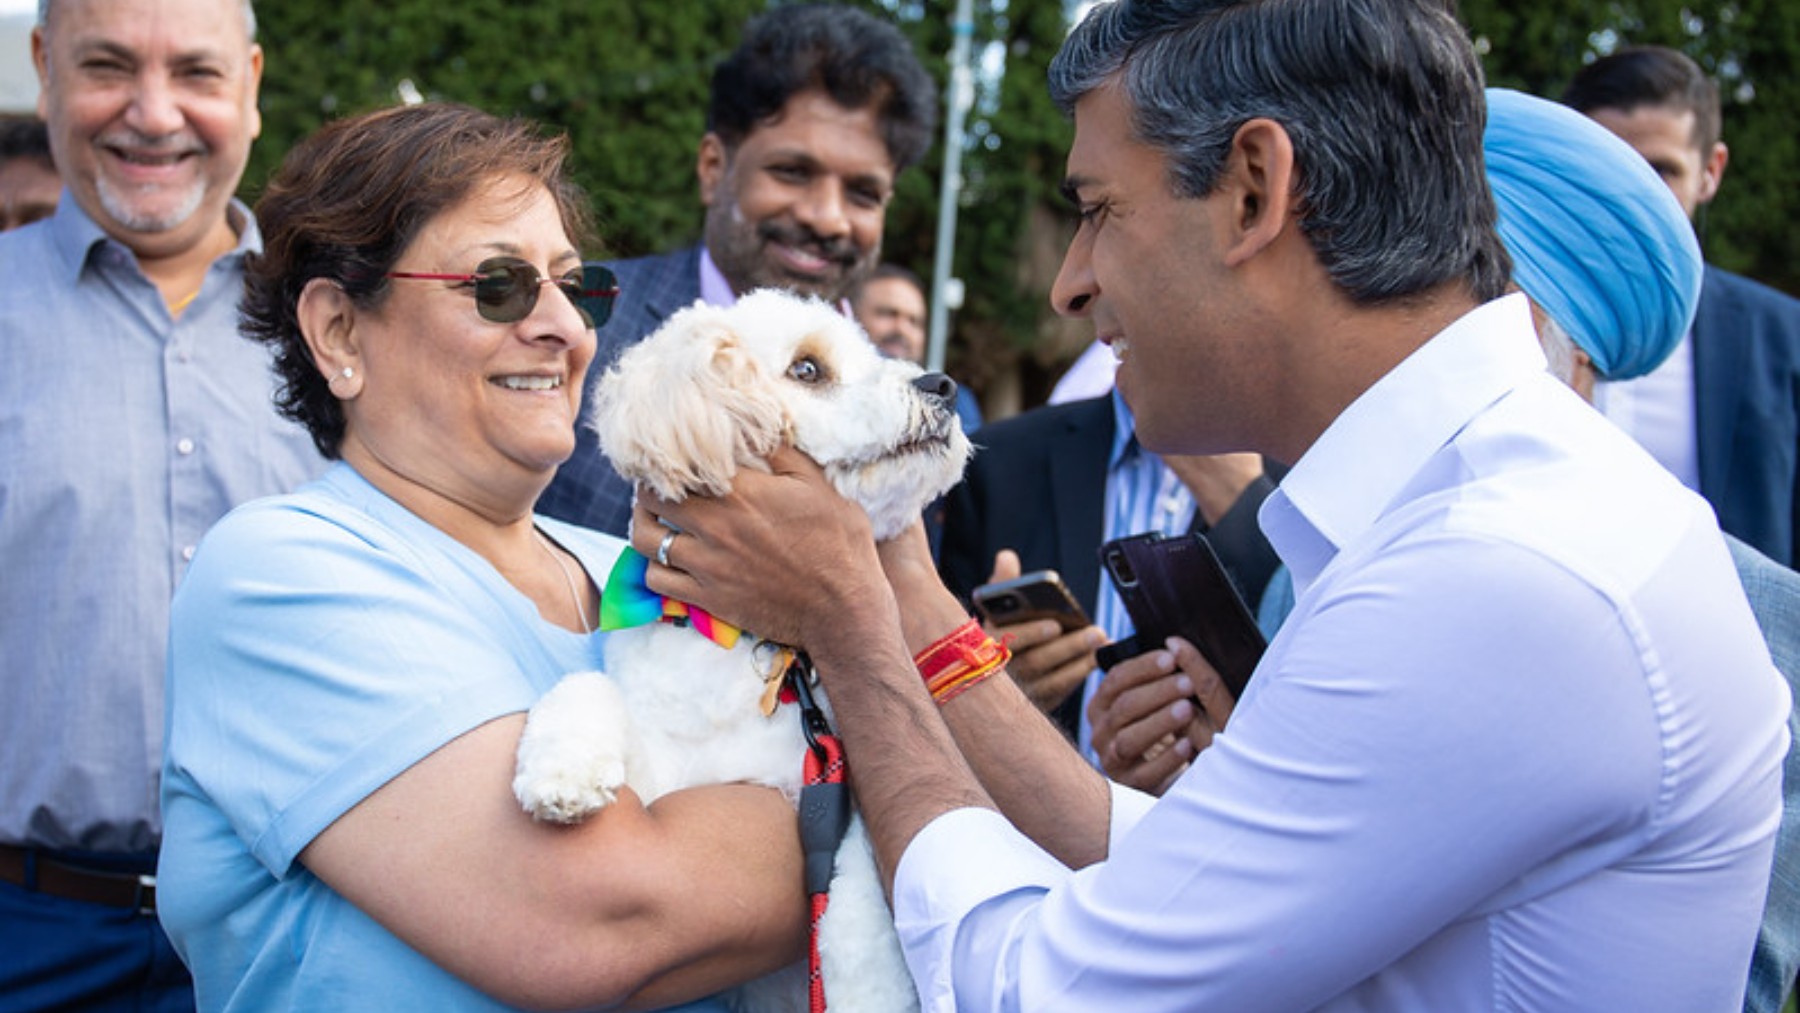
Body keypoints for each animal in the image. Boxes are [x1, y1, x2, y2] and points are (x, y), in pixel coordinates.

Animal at [514, 287, 972, 1013]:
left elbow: (856, 936)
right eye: (808, 369)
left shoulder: (842, 819)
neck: (750, 650)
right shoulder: (665, 781)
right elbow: (588, 689)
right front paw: (562, 773)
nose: (944, 385)